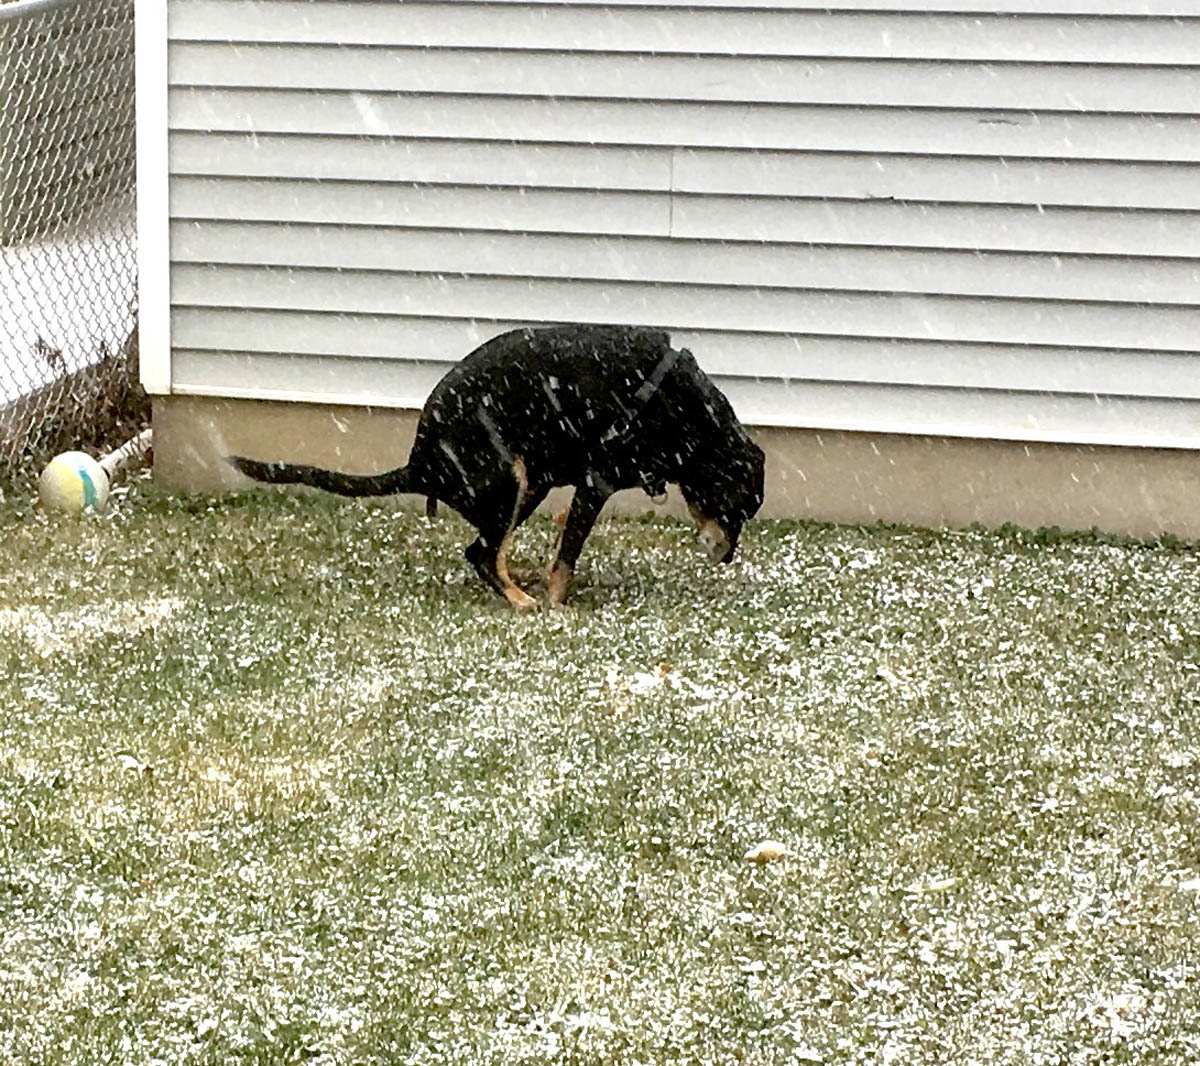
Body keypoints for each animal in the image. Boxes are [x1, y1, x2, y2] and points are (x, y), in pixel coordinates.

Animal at [229, 324, 763, 607]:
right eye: (734, 508)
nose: (728, 557)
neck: (684, 413)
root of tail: (421, 463)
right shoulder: (596, 482)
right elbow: (567, 557)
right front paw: (555, 604)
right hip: (510, 480)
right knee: (482, 552)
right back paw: (520, 599)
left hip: (530, 484)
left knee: (485, 550)